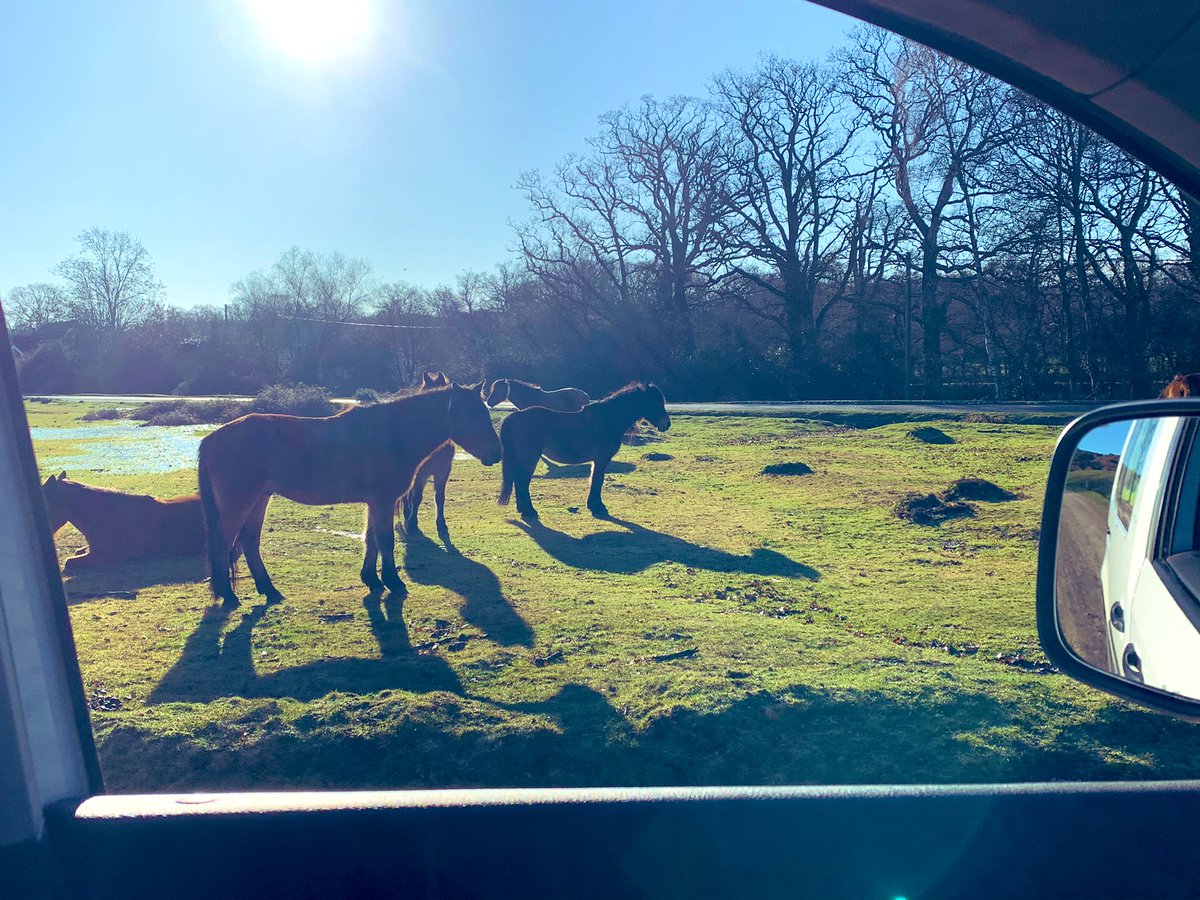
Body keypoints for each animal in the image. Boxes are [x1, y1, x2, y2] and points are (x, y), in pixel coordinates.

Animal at [399, 372, 456, 536]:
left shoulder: (443, 472)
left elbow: (440, 497)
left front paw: (441, 523)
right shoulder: (420, 473)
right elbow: (417, 497)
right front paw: (412, 523)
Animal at [498, 382, 670, 521]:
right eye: (655, 402)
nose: (666, 424)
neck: (608, 419)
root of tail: (514, 417)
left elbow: (595, 480)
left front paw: (594, 505)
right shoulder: (602, 459)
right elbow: (597, 480)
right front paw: (597, 506)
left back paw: (523, 509)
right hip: (529, 457)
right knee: (522, 480)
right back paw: (529, 511)